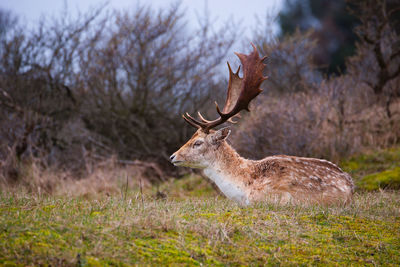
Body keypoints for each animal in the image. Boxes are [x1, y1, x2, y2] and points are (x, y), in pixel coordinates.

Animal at [169, 44, 354, 207]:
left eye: (198, 143)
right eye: (190, 137)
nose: (172, 156)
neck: (244, 187)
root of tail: (351, 186)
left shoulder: (274, 198)